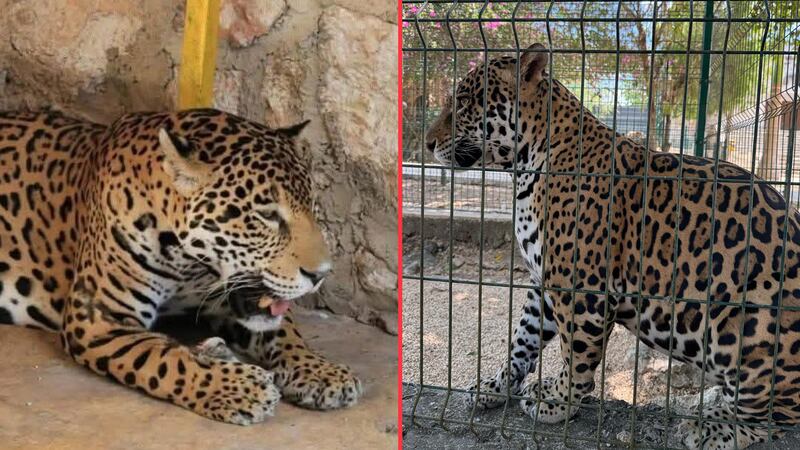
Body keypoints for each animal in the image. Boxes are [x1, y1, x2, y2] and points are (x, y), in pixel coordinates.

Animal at [0, 108, 362, 424]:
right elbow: (164, 359)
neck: (190, 267)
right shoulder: (96, 316)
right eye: (267, 215)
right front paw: (239, 388)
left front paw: (320, 370)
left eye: (311, 206)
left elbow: (286, 334)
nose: (321, 274)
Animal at [425, 43, 800, 449]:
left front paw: (558, 400)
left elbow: (576, 355)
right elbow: (521, 340)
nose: (427, 143)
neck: (527, 164)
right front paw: (495, 386)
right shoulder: (544, 281)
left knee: (774, 413)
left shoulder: (579, 288)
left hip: (748, 320)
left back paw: (711, 426)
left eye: (464, 101)